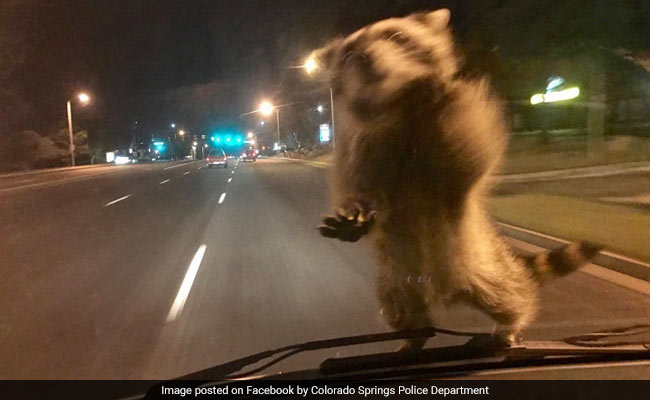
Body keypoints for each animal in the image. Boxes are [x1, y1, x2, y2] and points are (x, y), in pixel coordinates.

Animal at [312, 9, 600, 350]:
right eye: (348, 53)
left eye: (395, 36)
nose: (364, 57)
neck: (395, 103)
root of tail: (444, 292)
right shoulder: (358, 146)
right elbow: (356, 186)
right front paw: (354, 211)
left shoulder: (458, 125)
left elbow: (469, 152)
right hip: (393, 281)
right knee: (399, 311)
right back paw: (413, 337)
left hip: (483, 264)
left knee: (508, 293)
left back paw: (511, 322)